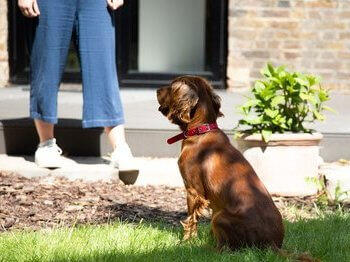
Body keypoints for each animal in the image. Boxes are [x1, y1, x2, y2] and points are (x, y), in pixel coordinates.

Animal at [157, 75, 286, 250]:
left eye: (171, 87)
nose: (156, 90)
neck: (201, 131)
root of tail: (272, 244)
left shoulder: (193, 190)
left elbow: (191, 220)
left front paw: (186, 242)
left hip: (220, 217)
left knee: (224, 248)